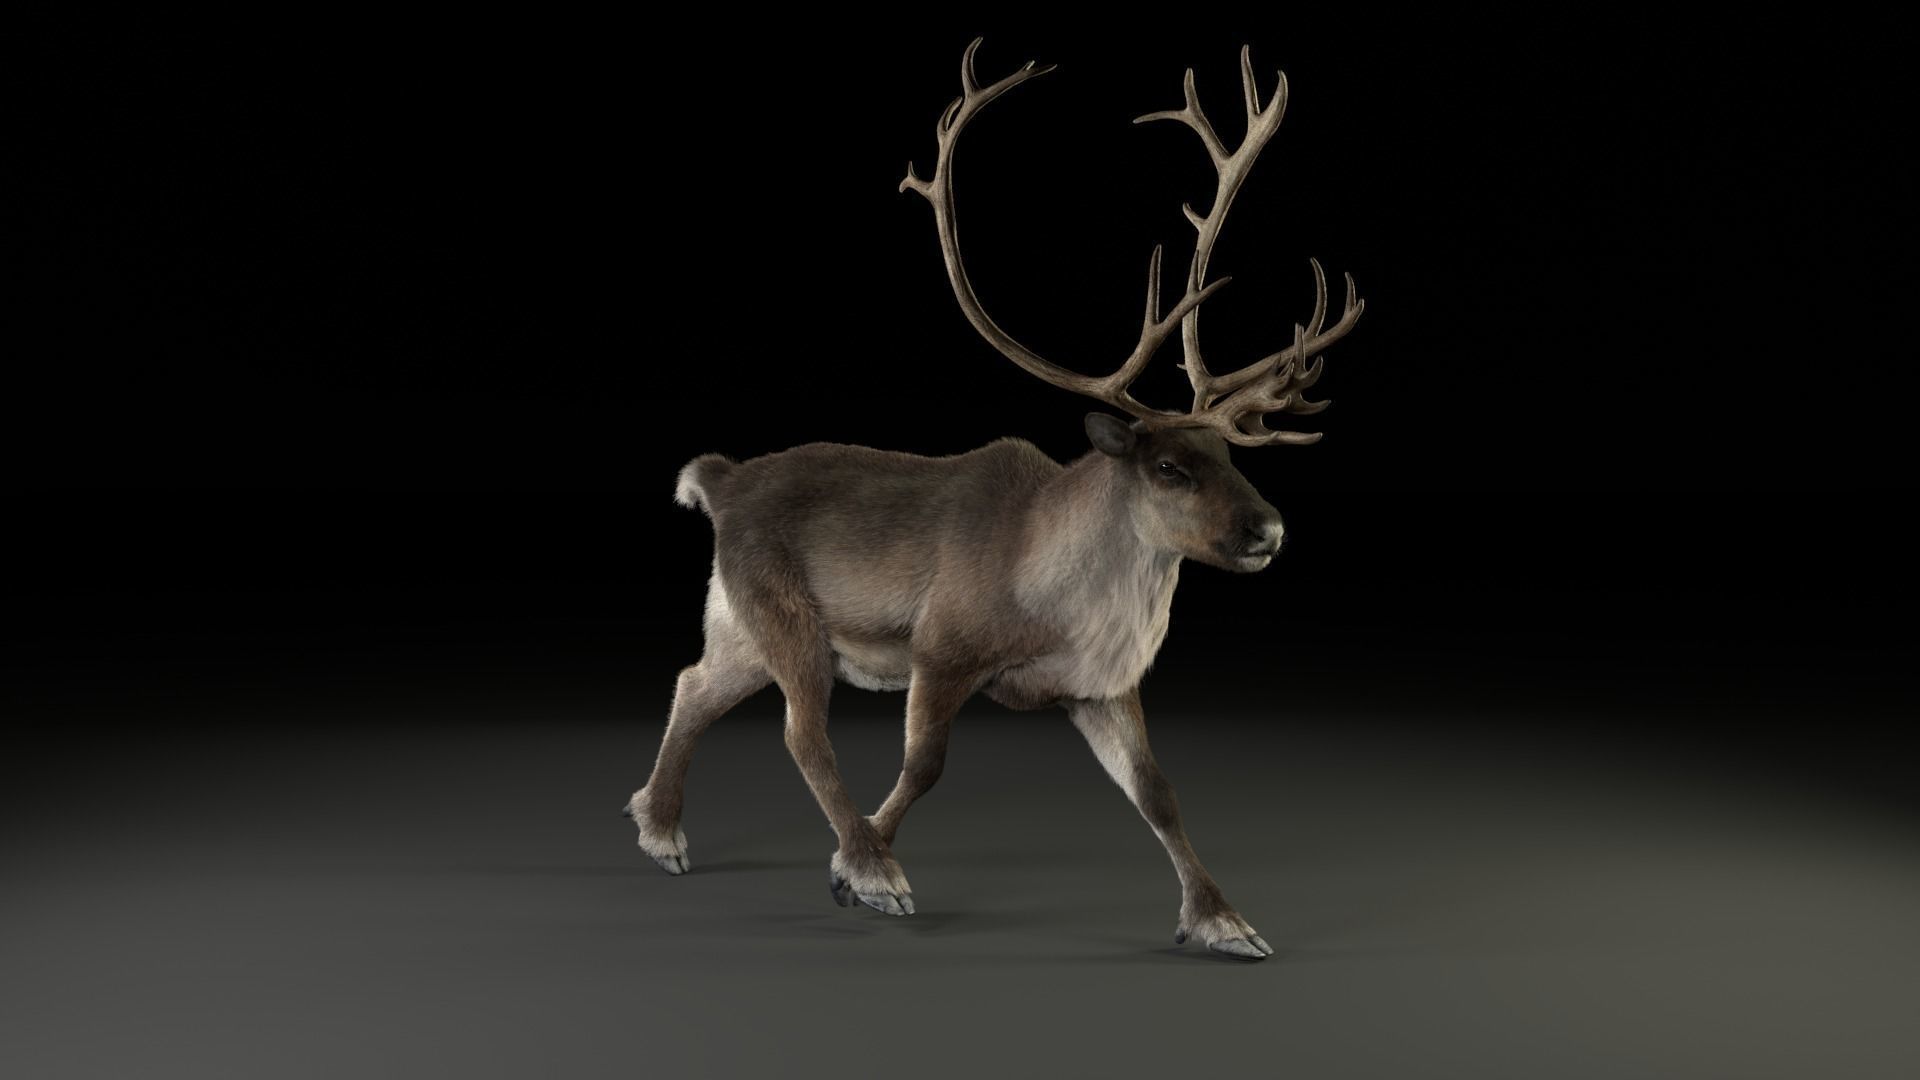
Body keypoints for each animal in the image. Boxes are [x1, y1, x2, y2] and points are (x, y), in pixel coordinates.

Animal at [624, 37, 1363, 961]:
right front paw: (860, 870)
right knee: (801, 729)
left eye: (1229, 452)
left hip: (737, 623)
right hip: (782, 613)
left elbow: (1157, 791)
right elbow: (922, 766)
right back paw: (849, 859)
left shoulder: (1100, 685)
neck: (1058, 596)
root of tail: (719, 481)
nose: (1271, 529)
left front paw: (1223, 920)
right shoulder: (942, 648)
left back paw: (657, 827)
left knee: (693, 683)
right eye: (1168, 466)